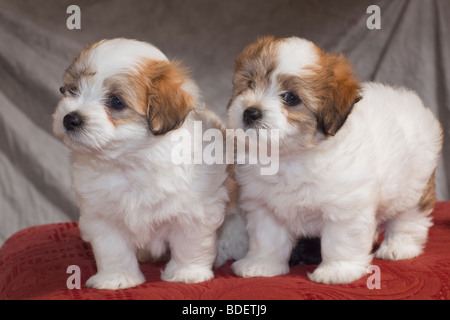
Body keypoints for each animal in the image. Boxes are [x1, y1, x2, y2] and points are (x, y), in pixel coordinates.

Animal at [52, 38, 246, 290]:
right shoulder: (103, 216)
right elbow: (112, 250)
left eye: (116, 101)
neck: (131, 162)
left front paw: (187, 273)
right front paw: (116, 278)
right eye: (72, 90)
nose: (70, 118)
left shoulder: (194, 212)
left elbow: (190, 245)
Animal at [229, 36, 442, 284]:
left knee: (409, 218)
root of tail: (412, 102)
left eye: (291, 98)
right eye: (250, 84)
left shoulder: (345, 207)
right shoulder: (264, 207)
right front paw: (261, 264)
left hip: (415, 185)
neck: (290, 156)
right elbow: (267, 239)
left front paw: (337, 270)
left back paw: (399, 246)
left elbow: (340, 241)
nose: (251, 112)